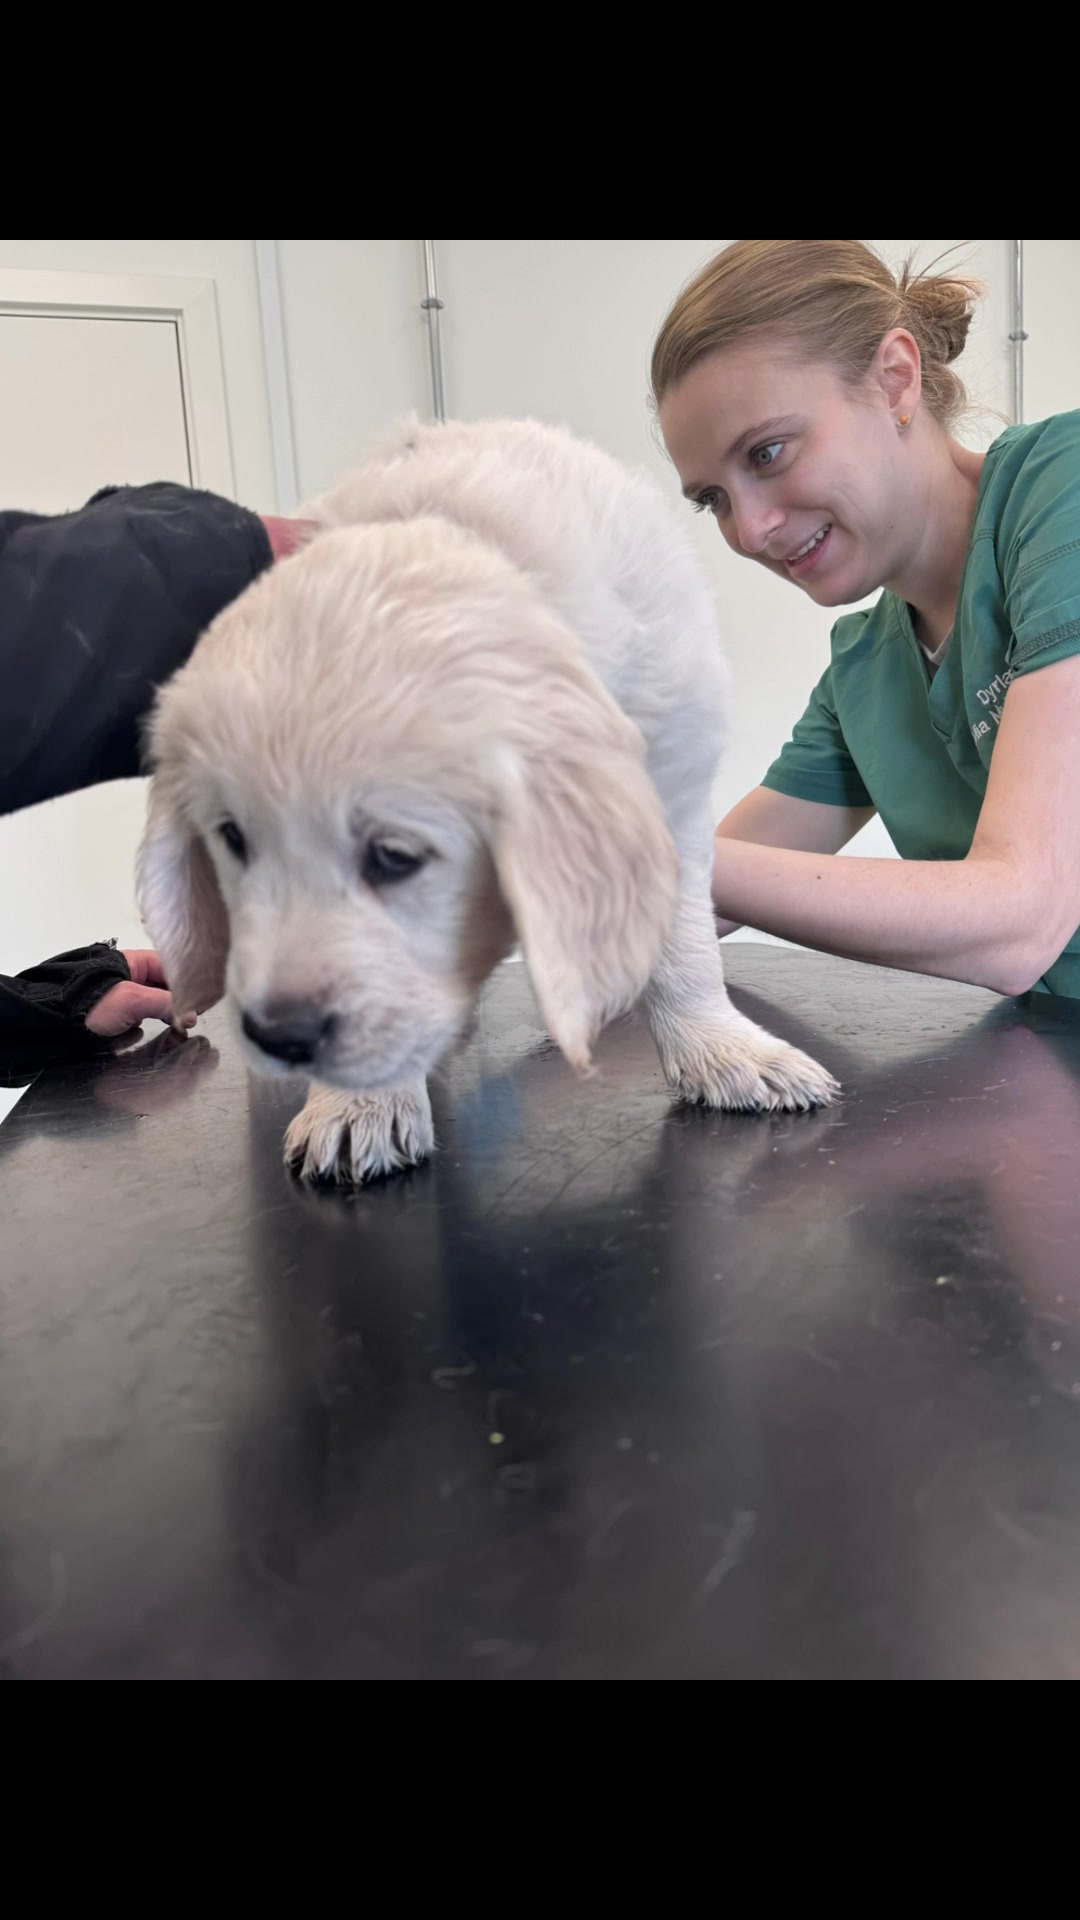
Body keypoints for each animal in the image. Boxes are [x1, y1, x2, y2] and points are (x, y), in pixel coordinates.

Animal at [138, 417, 837, 1183]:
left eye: (394, 856)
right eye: (233, 839)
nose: (278, 1037)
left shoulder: (674, 785)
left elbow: (683, 945)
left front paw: (724, 1050)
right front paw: (361, 1103)